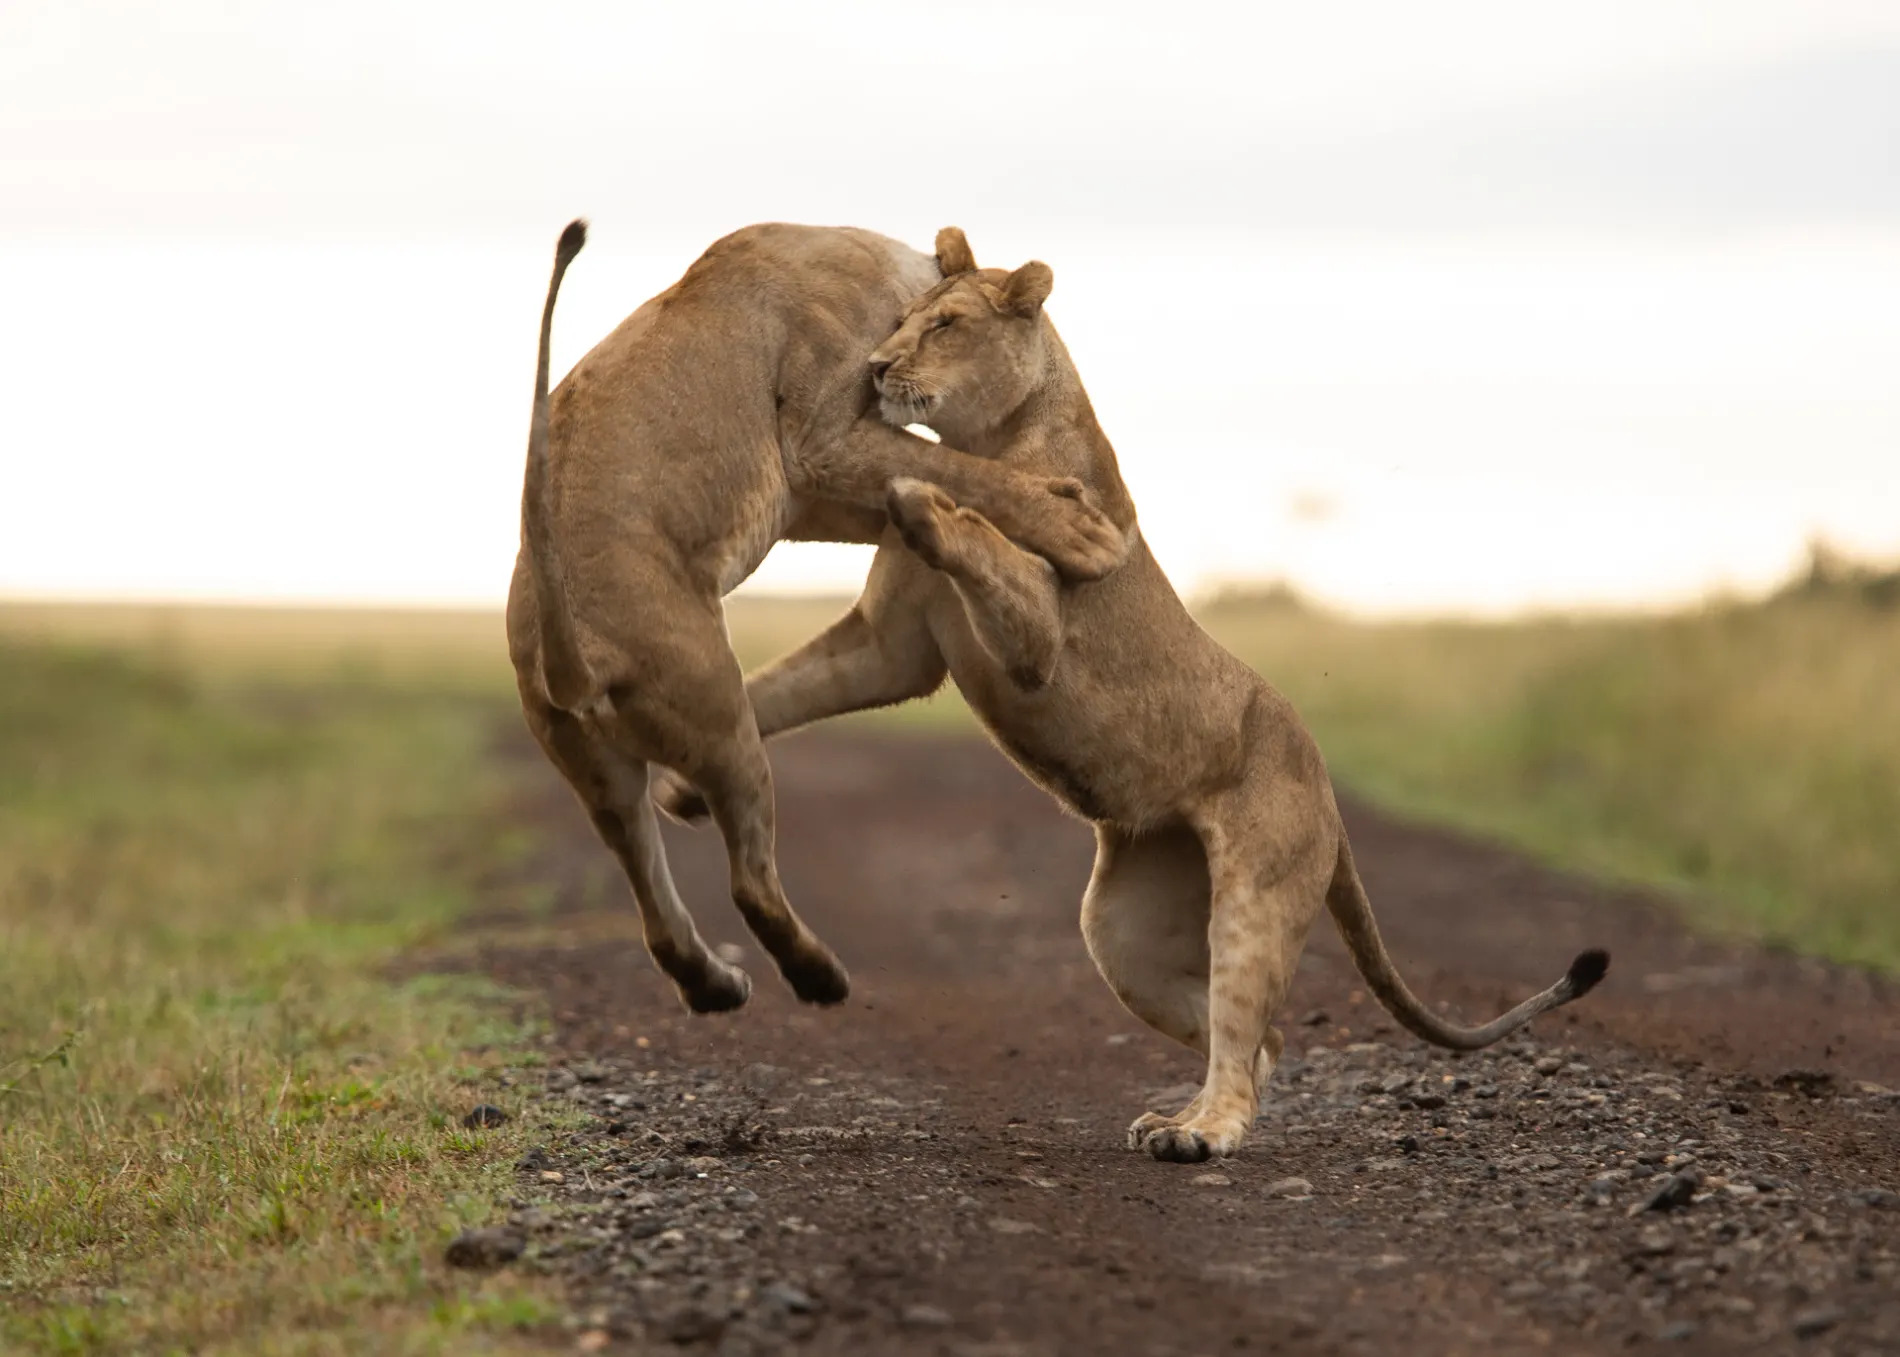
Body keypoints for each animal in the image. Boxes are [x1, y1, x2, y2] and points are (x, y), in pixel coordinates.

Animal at [509, 216, 1124, 1018]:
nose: (885, 366)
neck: (900, 289)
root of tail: (571, 657)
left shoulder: (807, 485)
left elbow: (914, 485)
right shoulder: (820, 439)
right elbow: (959, 467)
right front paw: (1078, 531)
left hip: (595, 769)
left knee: (653, 900)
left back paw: (716, 986)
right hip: (718, 713)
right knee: (749, 882)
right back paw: (818, 977)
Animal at [661, 227, 1611, 1155]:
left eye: (947, 325)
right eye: (901, 318)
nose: (876, 368)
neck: (988, 441)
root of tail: (1332, 798)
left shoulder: (1037, 640)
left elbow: (990, 543)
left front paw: (922, 497)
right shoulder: (889, 647)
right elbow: (784, 686)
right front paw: (684, 783)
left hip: (1256, 893)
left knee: (1246, 1021)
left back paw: (1203, 1133)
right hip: (1126, 933)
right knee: (1258, 1038)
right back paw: (1178, 1118)